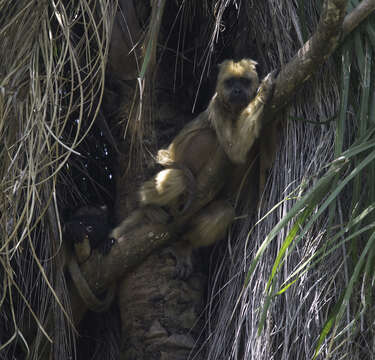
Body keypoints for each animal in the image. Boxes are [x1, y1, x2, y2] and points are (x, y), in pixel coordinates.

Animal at [111, 59, 276, 278]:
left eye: (243, 81)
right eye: (230, 82)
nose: (237, 90)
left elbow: (264, 168)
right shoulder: (217, 106)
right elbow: (234, 150)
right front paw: (265, 90)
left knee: (222, 211)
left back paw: (184, 245)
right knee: (182, 172)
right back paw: (148, 207)